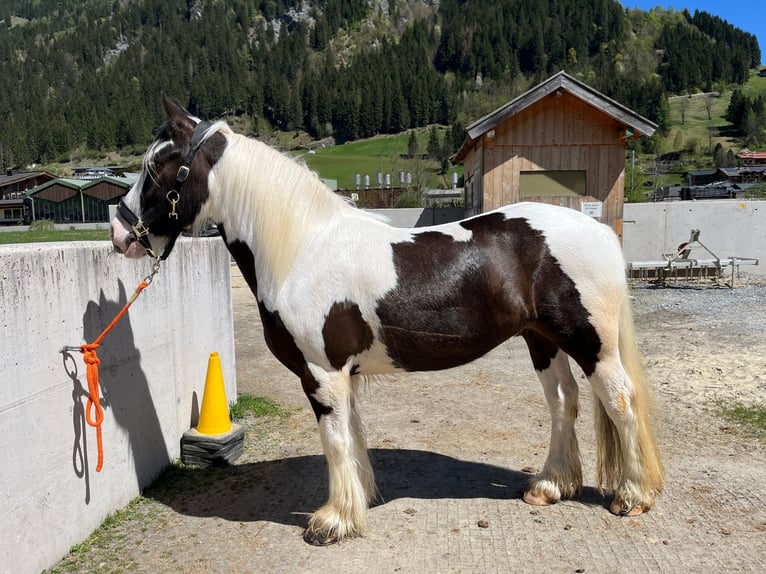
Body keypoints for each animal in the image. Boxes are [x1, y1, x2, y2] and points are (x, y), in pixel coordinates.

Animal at [110, 96, 664, 545]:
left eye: (159, 163)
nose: (119, 233)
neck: (301, 249)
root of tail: (597, 229)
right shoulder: (341, 375)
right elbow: (352, 437)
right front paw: (358, 503)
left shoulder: (322, 373)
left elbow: (334, 441)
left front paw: (332, 522)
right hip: (541, 339)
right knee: (564, 402)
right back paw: (550, 486)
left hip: (590, 342)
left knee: (619, 401)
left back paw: (633, 496)